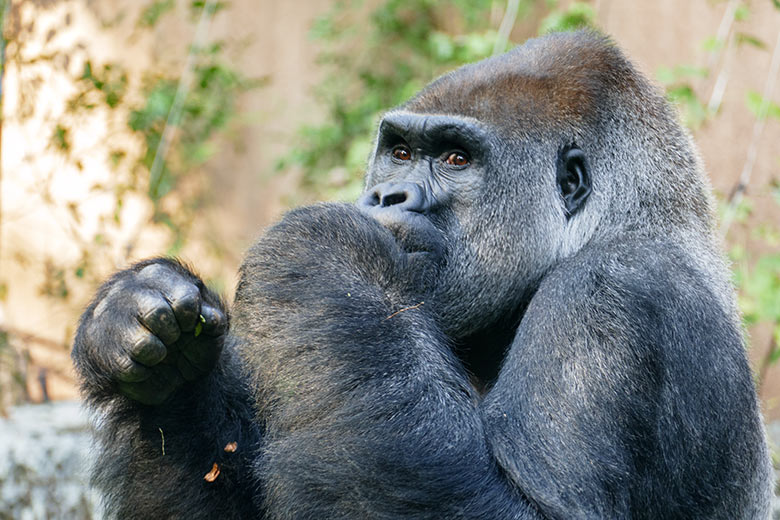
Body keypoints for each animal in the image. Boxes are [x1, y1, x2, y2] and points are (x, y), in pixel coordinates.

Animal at [73, 32, 772, 520]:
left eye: (457, 159)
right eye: (401, 152)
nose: (387, 197)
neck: (632, 219)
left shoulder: (612, 294)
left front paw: (323, 256)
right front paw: (154, 342)